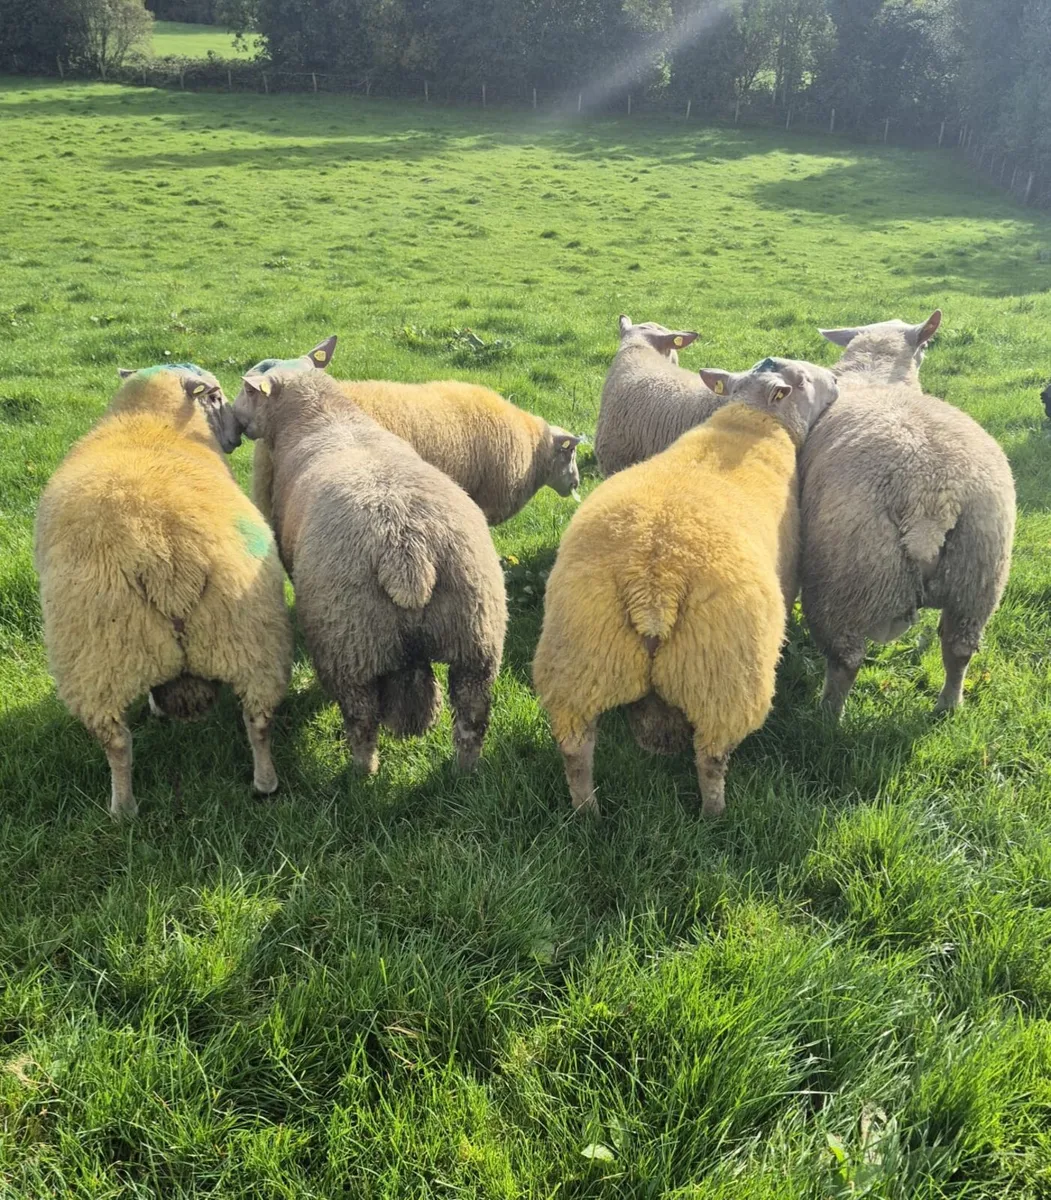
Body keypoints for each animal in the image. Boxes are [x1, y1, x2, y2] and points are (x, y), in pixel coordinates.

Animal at [34, 365, 292, 818]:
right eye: (216, 396)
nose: (237, 435)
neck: (148, 422)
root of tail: (168, 554)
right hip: (251, 636)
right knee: (258, 721)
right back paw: (265, 784)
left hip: (97, 658)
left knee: (117, 743)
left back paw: (122, 808)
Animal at [230, 363, 508, 772]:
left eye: (249, 391)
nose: (235, 421)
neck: (324, 416)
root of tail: (406, 553)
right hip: (477, 639)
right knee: (473, 717)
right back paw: (464, 770)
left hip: (350, 641)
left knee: (362, 717)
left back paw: (361, 771)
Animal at [533, 358, 839, 817]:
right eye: (802, 380)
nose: (836, 381)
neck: (752, 420)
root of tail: (653, 583)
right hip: (722, 675)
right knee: (710, 757)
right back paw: (713, 815)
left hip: (580, 656)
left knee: (575, 749)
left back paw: (587, 812)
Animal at [799, 310, 1016, 717]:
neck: (875, 375)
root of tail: (931, 497)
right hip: (977, 577)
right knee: (958, 649)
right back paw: (949, 705)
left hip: (847, 578)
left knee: (846, 659)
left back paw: (826, 718)